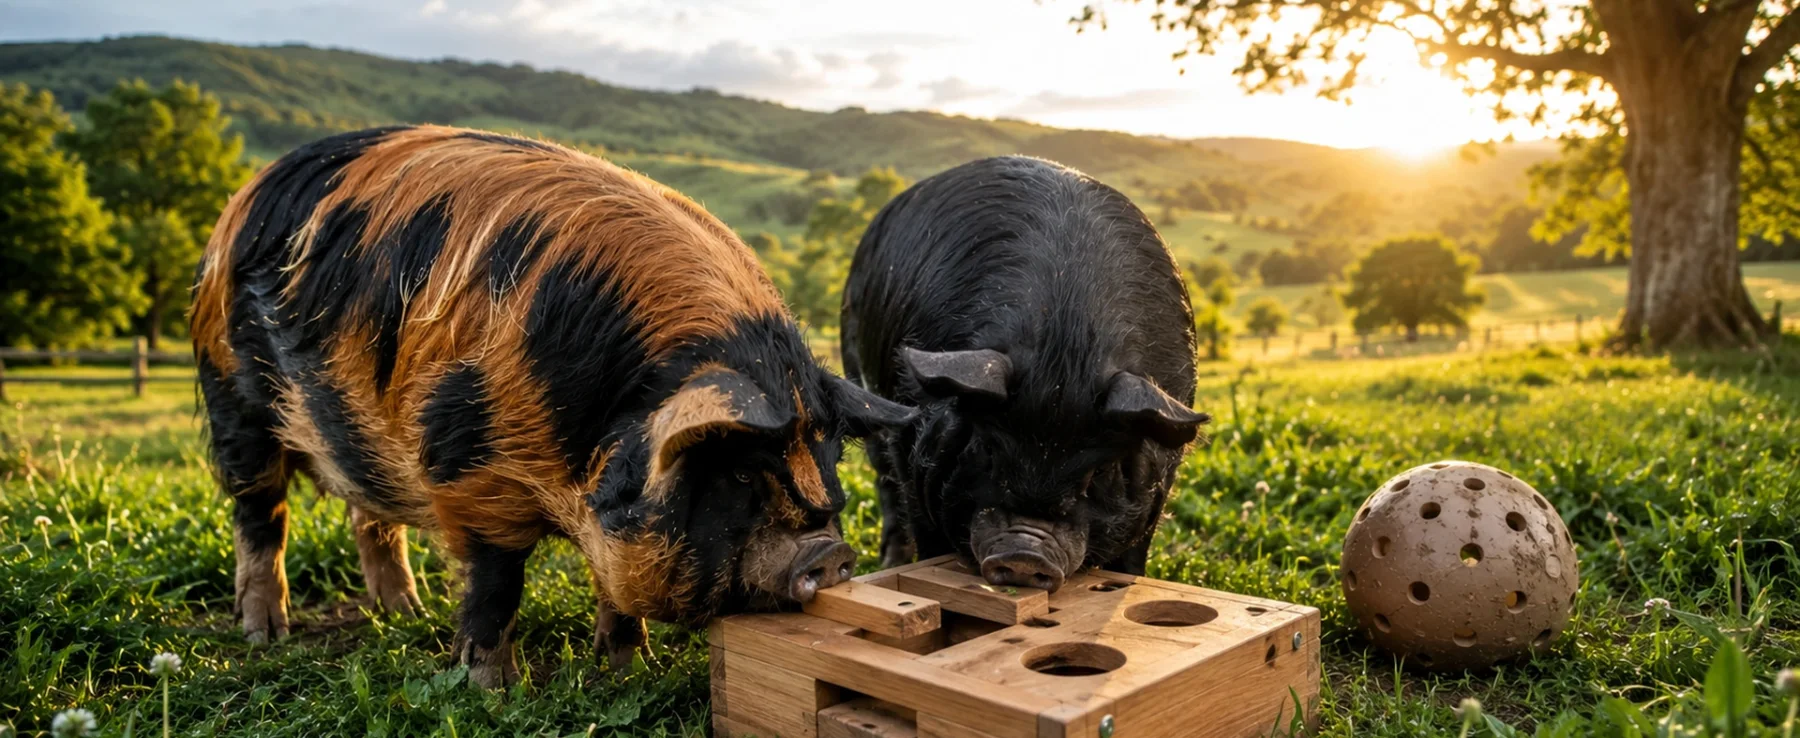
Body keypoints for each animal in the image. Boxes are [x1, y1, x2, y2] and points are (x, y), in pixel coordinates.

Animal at [190, 125, 913, 688]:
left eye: (826, 461)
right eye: (737, 473)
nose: (830, 553)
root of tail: (246, 196)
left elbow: (616, 590)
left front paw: (629, 669)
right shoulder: (467, 470)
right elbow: (496, 583)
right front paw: (494, 690)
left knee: (371, 516)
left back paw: (405, 614)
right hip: (231, 396)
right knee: (260, 512)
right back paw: (266, 633)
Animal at [840, 155, 1208, 591]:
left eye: (1099, 472)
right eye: (987, 449)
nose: (1024, 554)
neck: (1064, 342)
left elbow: (1133, 557)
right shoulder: (910, 443)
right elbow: (925, 531)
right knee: (886, 487)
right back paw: (890, 561)